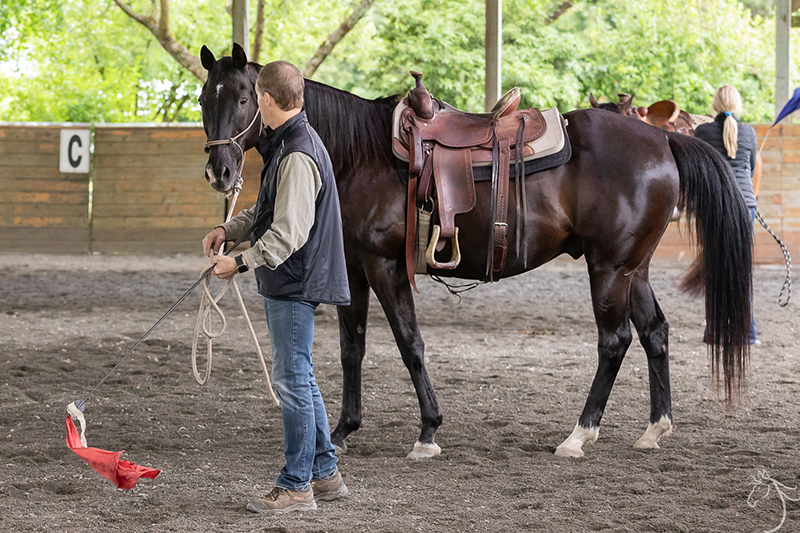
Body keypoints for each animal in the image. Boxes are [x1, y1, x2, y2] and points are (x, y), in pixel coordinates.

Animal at [198, 45, 752, 460]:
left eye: (245, 97)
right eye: (205, 98)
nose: (219, 172)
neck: (359, 153)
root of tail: (661, 139)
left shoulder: (384, 266)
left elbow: (409, 343)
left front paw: (428, 432)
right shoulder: (352, 270)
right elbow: (351, 349)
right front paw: (342, 431)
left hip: (610, 268)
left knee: (614, 342)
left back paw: (579, 434)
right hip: (633, 269)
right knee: (655, 332)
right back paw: (655, 428)